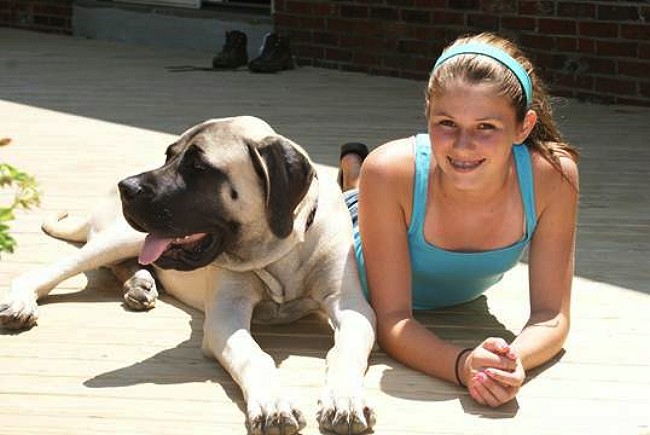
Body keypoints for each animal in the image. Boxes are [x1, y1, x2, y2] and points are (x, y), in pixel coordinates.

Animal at [1, 116, 374, 435]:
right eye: (168, 155)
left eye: (198, 167)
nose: (126, 187)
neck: (279, 253)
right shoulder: (226, 317)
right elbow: (255, 356)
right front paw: (273, 404)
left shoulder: (351, 307)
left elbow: (346, 350)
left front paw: (345, 400)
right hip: (120, 237)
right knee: (56, 269)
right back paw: (21, 301)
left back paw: (140, 284)